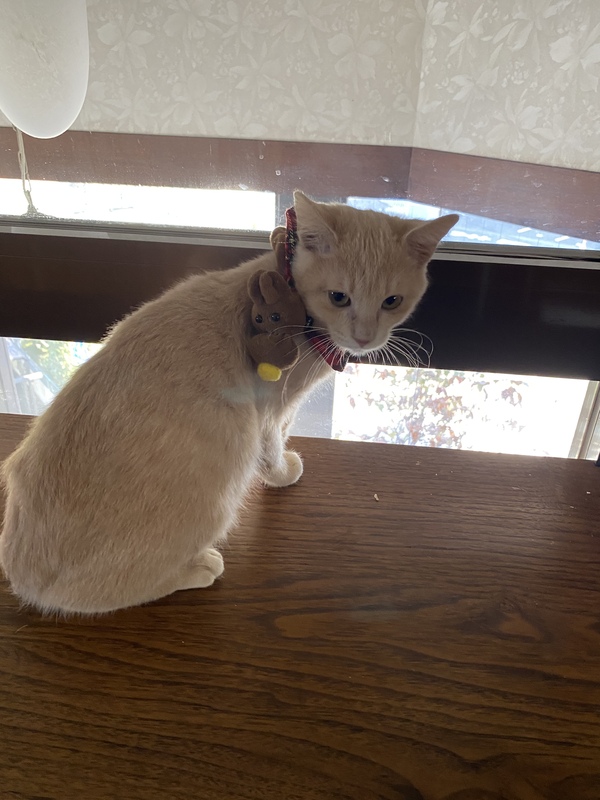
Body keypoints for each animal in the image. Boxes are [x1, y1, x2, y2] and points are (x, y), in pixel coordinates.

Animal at [0, 191, 458, 615]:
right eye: (339, 297)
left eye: (392, 301)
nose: (364, 338)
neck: (290, 299)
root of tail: (21, 573)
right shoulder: (269, 412)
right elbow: (272, 446)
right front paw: (283, 471)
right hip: (224, 466)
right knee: (94, 595)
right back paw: (198, 568)